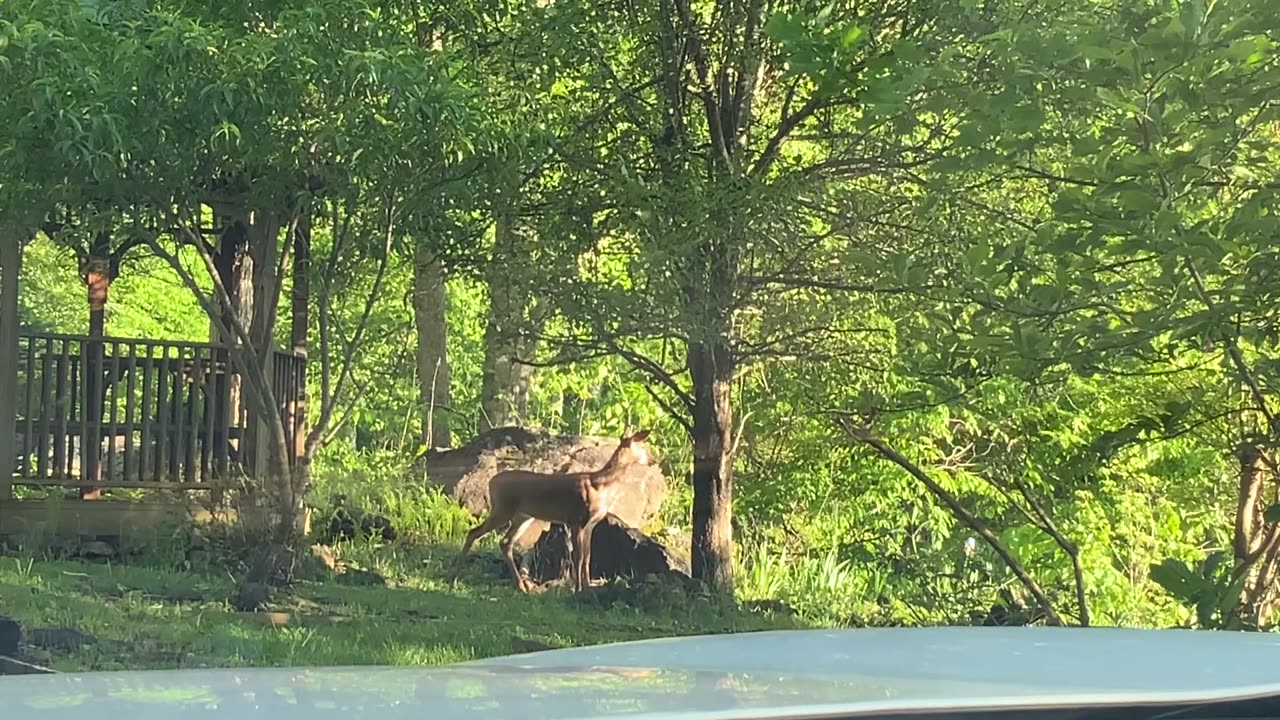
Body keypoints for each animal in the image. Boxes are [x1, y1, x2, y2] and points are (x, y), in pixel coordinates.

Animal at [448, 427, 650, 591]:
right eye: (643, 447)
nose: (653, 459)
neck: (600, 485)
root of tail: (491, 482)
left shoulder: (590, 524)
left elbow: (588, 556)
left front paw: (587, 586)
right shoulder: (576, 518)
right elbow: (578, 556)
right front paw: (578, 588)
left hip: (522, 515)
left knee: (505, 542)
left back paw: (521, 587)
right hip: (502, 509)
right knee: (474, 532)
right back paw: (454, 578)